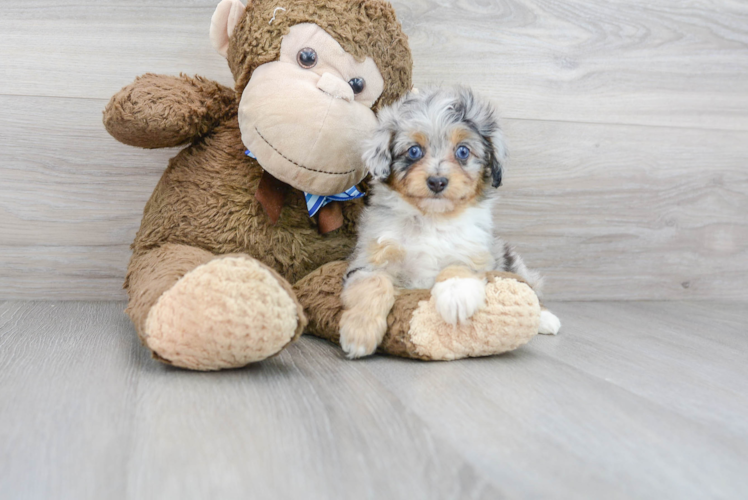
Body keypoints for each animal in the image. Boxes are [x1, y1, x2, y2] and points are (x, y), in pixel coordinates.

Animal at [338, 87, 560, 360]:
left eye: (463, 151)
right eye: (414, 151)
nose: (437, 182)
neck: (433, 219)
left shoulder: (477, 251)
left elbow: (459, 264)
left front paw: (455, 296)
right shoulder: (370, 257)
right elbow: (373, 283)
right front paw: (359, 334)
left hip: (509, 258)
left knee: (529, 285)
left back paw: (546, 319)